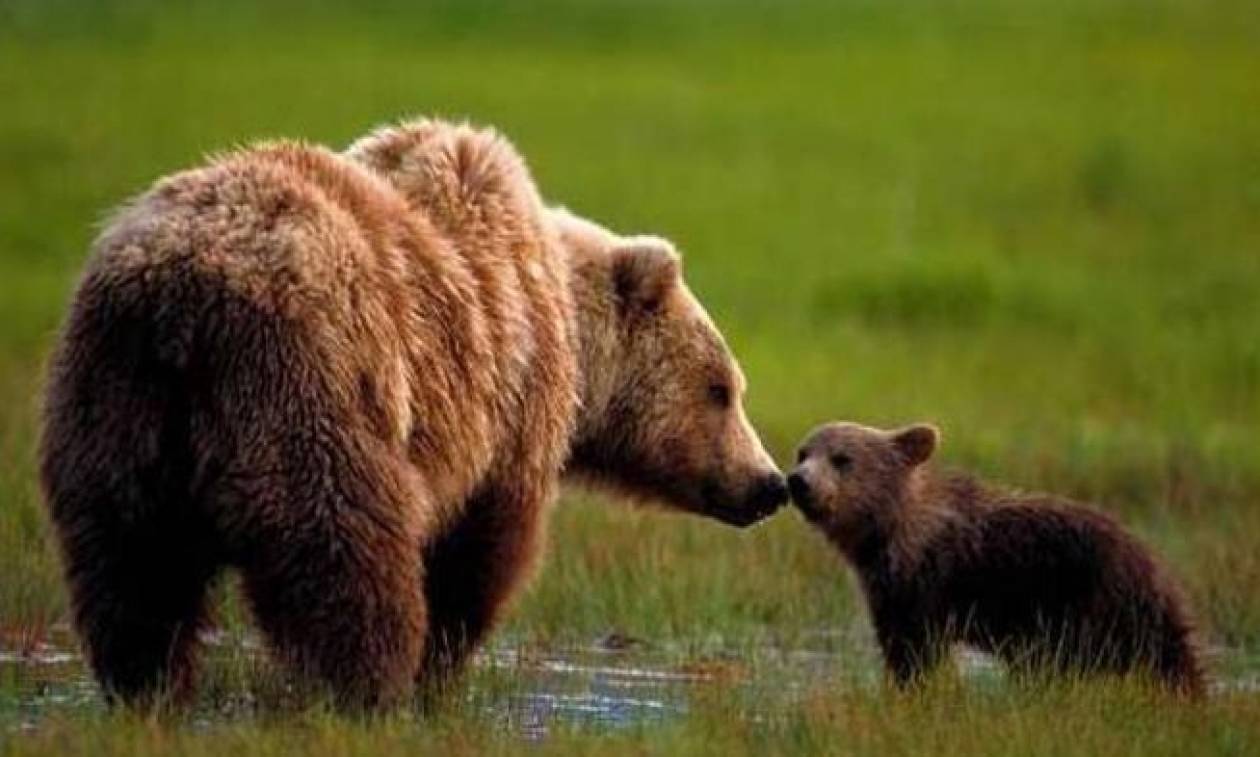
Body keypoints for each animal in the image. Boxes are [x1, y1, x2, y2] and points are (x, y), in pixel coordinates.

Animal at [41, 118, 786, 710]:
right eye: (723, 388)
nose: (769, 483)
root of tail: (180, 293)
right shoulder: (510, 406)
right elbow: (481, 548)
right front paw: (439, 667)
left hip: (116, 406)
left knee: (133, 568)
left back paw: (148, 685)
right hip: (305, 385)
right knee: (343, 549)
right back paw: (367, 687)